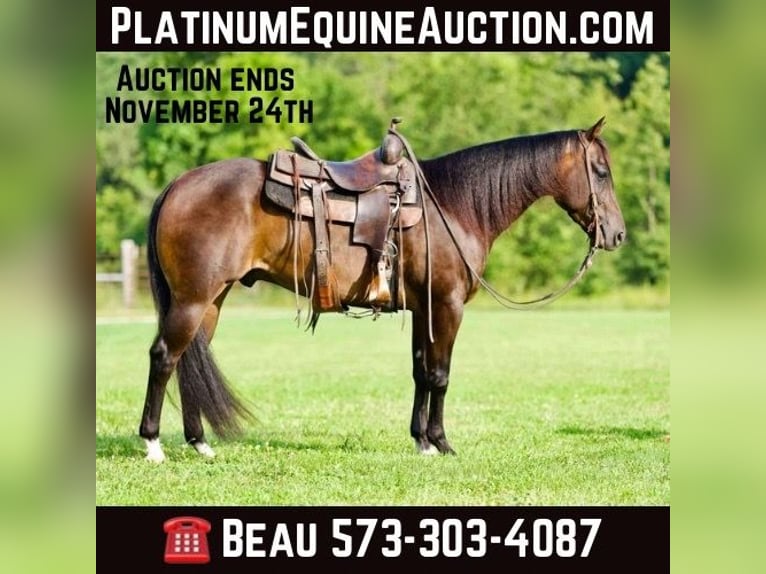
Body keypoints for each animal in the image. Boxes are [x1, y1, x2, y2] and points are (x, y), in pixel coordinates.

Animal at [139, 117, 625, 463]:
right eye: (601, 172)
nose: (616, 234)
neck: (453, 206)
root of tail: (178, 184)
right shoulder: (446, 306)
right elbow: (440, 374)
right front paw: (442, 443)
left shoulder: (423, 309)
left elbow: (420, 372)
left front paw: (421, 441)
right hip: (193, 300)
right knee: (164, 357)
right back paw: (153, 445)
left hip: (210, 300)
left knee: (188, 359)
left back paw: (199, 443)